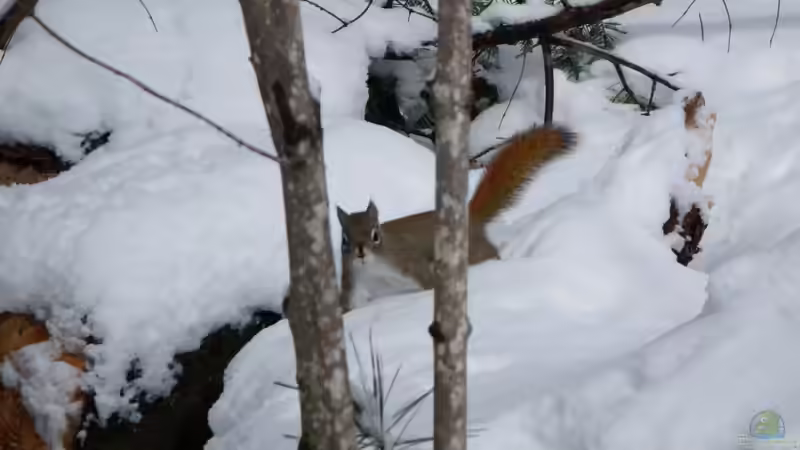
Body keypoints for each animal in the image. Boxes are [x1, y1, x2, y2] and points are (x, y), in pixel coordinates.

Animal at [335, 124, 577, 310]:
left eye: (375, 235)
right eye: (344, 239)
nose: (360, 252)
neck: (372, 267)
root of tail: (469, 218)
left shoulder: (411, 262)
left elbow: (429, 284)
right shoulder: (352, 278)